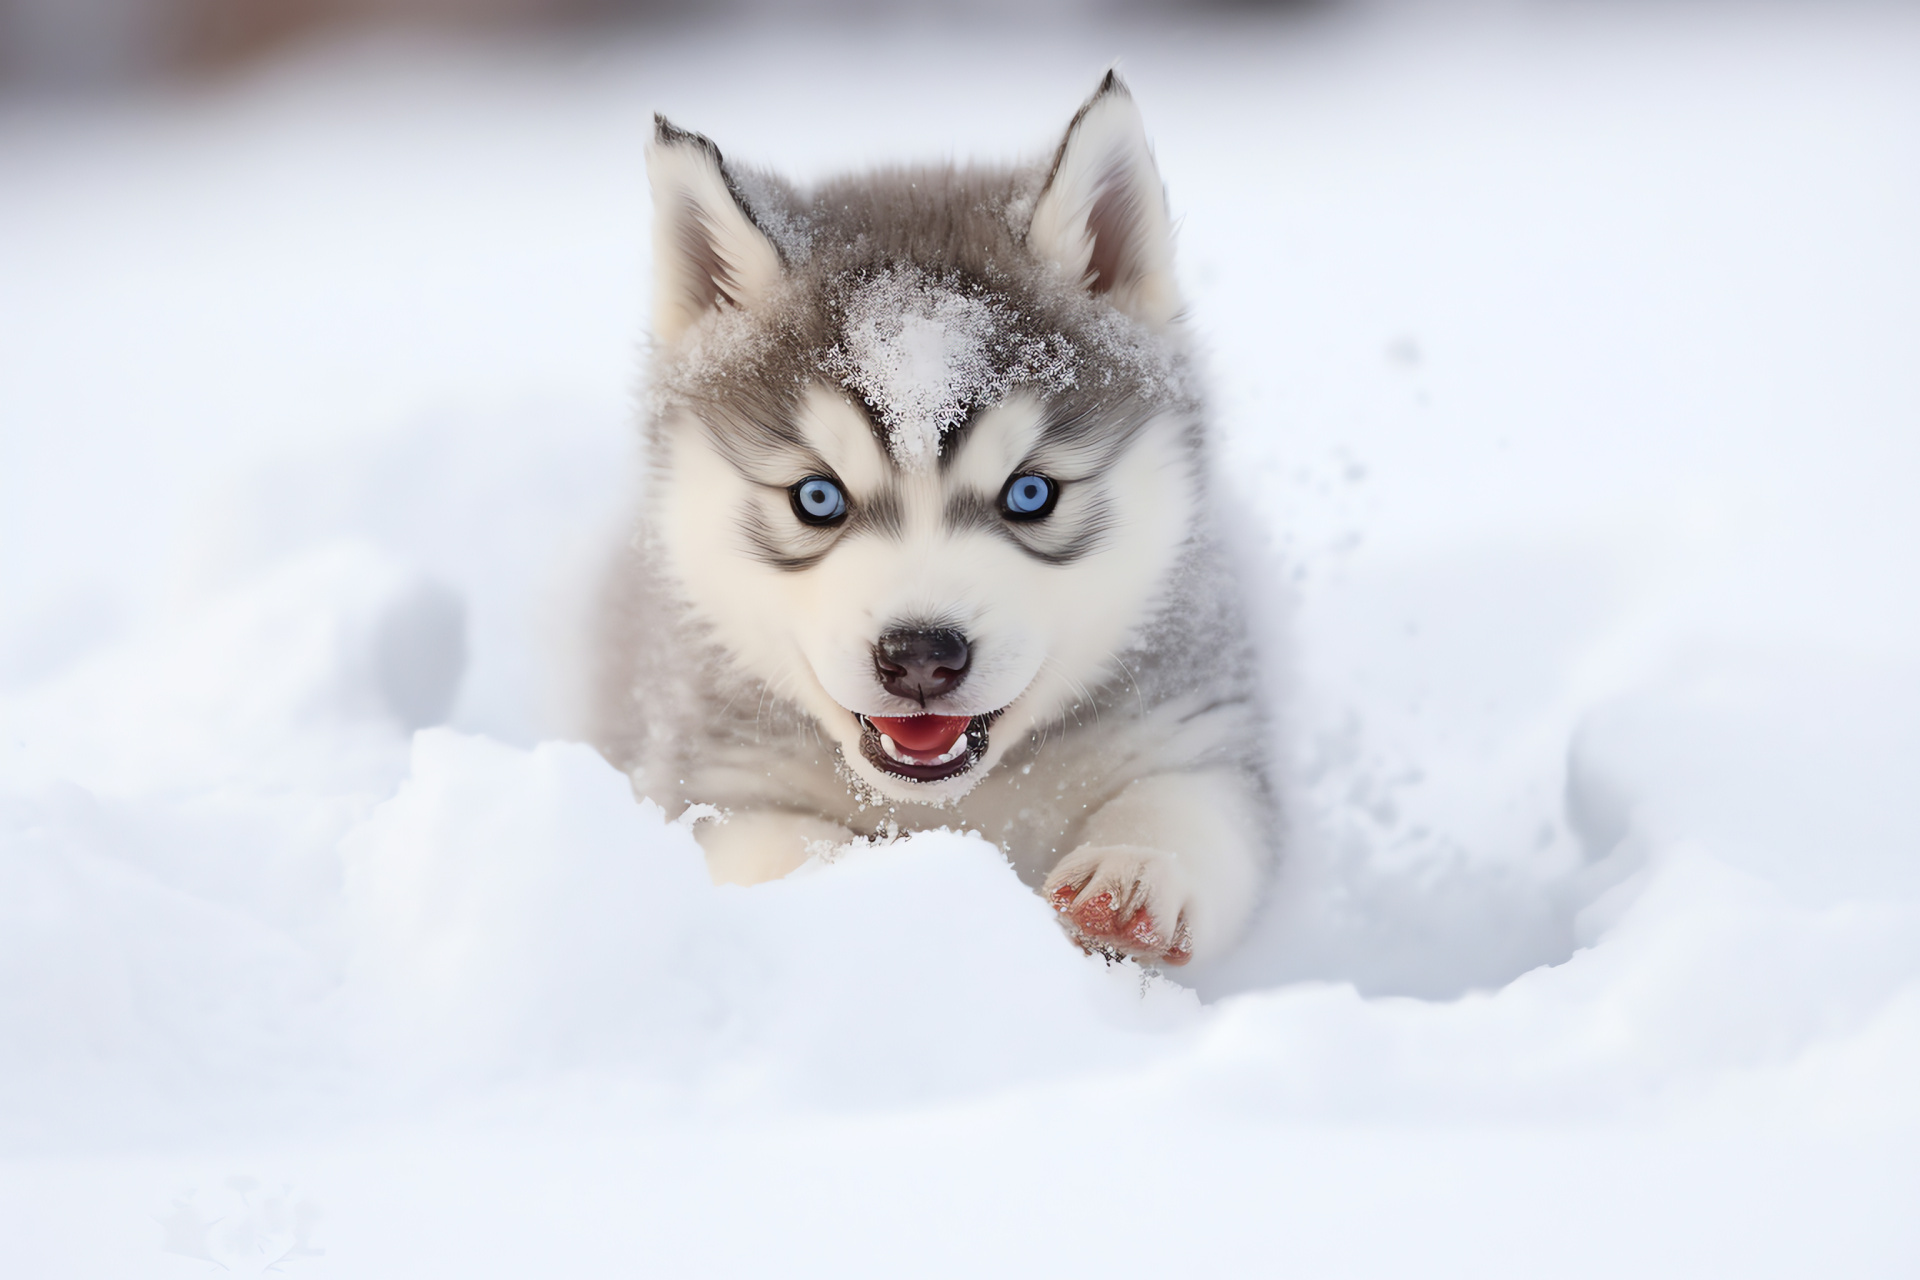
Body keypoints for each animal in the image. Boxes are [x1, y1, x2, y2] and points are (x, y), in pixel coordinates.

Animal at [591, 75, 1267, 967]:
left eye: (1030, 494)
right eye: (817, 498)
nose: (920, 656)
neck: (953, 802)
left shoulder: (1197, 719)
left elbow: (1194, 805)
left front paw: (1135, 869)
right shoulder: (704, 777)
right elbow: (775, 849)